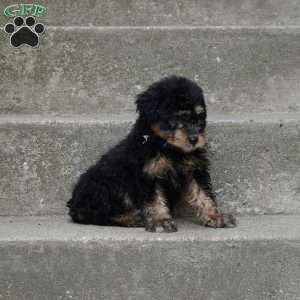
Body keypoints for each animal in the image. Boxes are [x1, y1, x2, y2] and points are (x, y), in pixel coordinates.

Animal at [67, 75, 237, 232]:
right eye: (177, 118)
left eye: (200, 118)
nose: (195, 139)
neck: (170, 148)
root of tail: (74, 202)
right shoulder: (149, 173)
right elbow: (155, 200)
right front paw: (161, 221)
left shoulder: (195, 170)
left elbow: (203, 194)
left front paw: (215, 216)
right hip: (106, 184)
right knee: (93, 214)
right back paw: (133, 218)